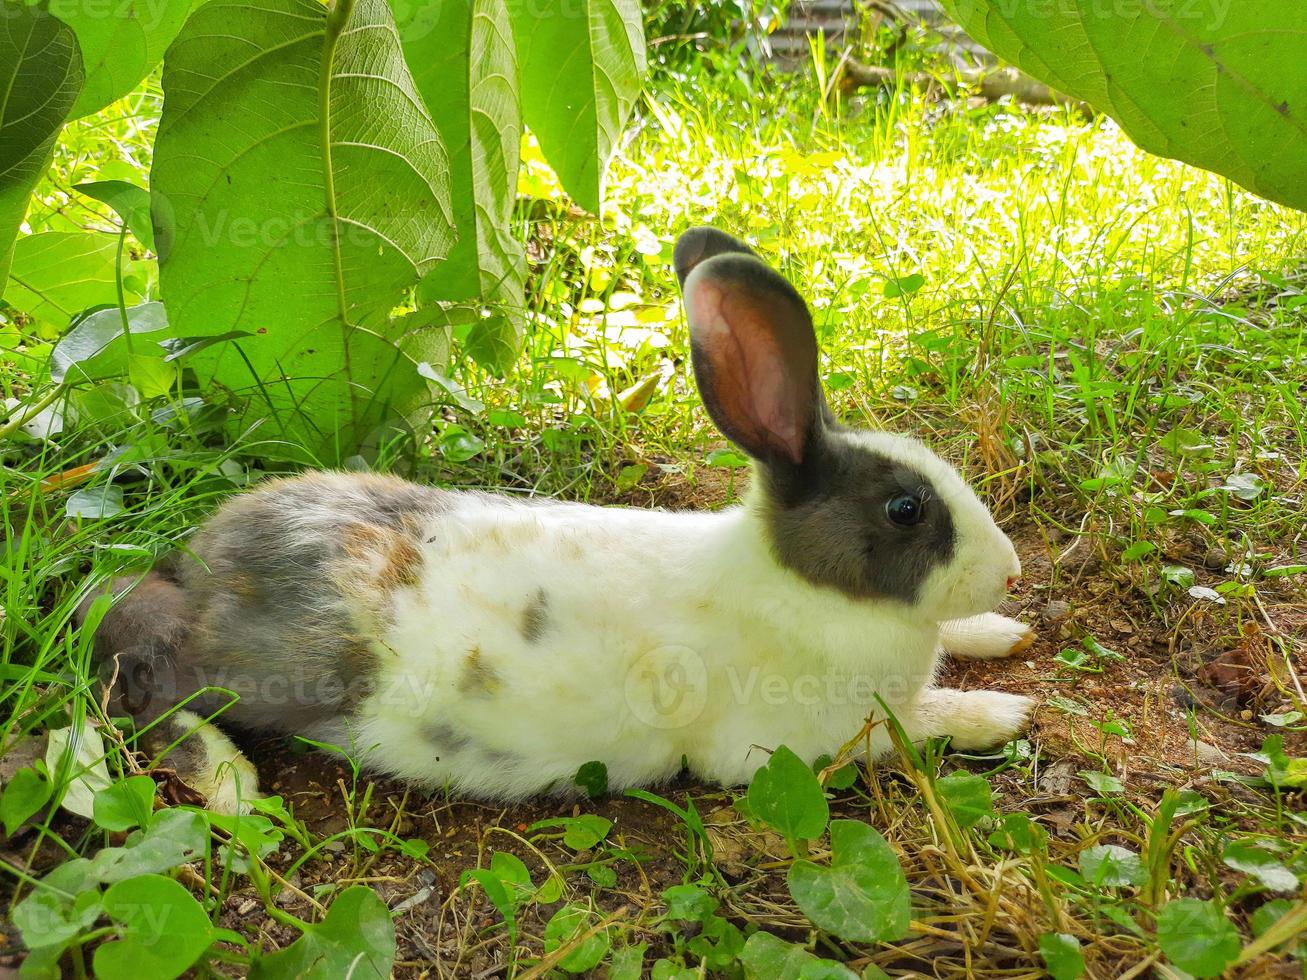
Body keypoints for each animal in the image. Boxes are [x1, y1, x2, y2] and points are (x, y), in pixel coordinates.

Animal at [84, 229, 1040, 815]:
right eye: (905, 509)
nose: (1010, 571)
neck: (790, 585)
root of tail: (205, 562)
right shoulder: (790, 746)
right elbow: (910, 725)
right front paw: (1001, 712)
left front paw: (1005, 632)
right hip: (259, 669)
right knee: (134, 668)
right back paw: (230, 780)